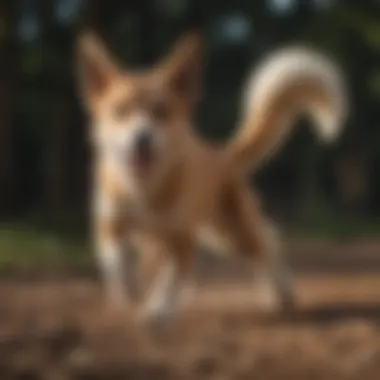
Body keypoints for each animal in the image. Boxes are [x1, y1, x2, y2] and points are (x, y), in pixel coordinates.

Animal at [76, 30, 348, 326]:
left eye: (161, 112)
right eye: (121, 111)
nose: (142, 138)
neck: (144, 189)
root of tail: (222, 155)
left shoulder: (182, 242)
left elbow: (169, 282)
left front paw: (157, 312)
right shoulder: (109, 226)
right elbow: (116, 262)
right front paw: (129, 291)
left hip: (232, 233)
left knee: (267, 244)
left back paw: (280, 293)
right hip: (212, 234)